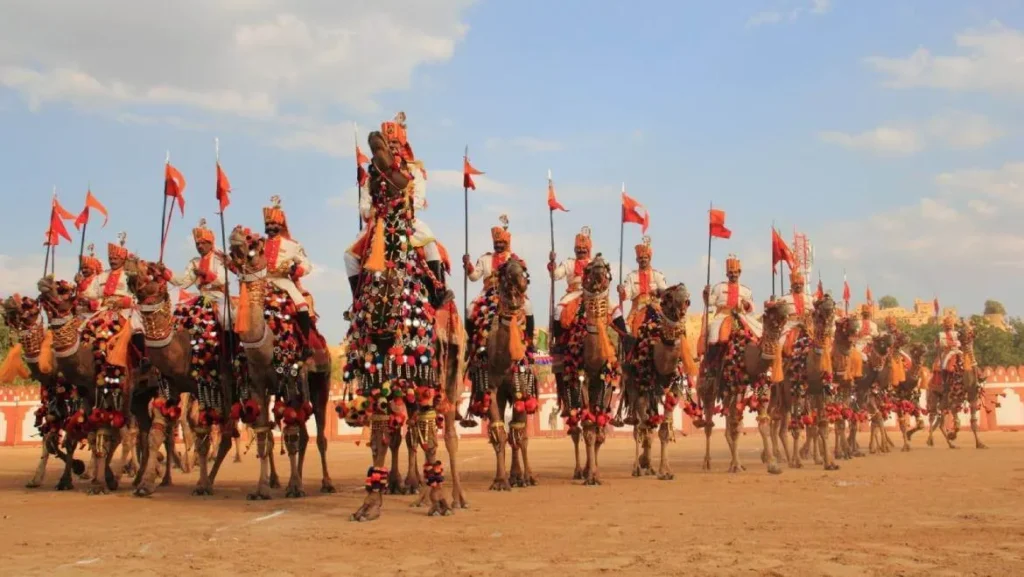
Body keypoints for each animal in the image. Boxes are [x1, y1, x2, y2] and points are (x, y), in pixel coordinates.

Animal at [226, 229, 333, 502]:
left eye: (255, 243)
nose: (235, 234)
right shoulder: (257, 385)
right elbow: (264, 434)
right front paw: (261, 488)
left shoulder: (292, 380)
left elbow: (292, 435)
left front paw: (295, 487)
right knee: (300, 434)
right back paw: (282, 481)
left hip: (320, 382)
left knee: (318, 433)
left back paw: (326, 483)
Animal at [466, 257, 540, 491]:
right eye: (506, 272)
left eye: (523, 271)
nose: (520, 283)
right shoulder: (490, 389)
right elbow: (499, 433)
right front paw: (500, 481)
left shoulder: (521, 389)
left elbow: (520, 433)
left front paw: (529, 477)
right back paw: (510, 476)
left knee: (516, 434)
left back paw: (518, 476)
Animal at [552, 255, 614, 485]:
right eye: (588, 268)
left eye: (606, 267)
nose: (598, 265)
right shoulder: (582, 378)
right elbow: (588, 427)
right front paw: (590, 476)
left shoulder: (606, 381)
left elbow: (599, 429)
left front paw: (596, 473)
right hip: (566, 384)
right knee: (574, 428)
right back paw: (579, 470)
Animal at [614, 282, 696, 479]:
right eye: (667, 296)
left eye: (687, 296)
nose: (684, 301)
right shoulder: (641, 387)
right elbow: (645, 426)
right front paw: (642, 464)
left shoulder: (674, 387)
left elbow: (664, 429)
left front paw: (665, 471)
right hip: (632, 386)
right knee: (638, 425)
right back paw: (639, 465)